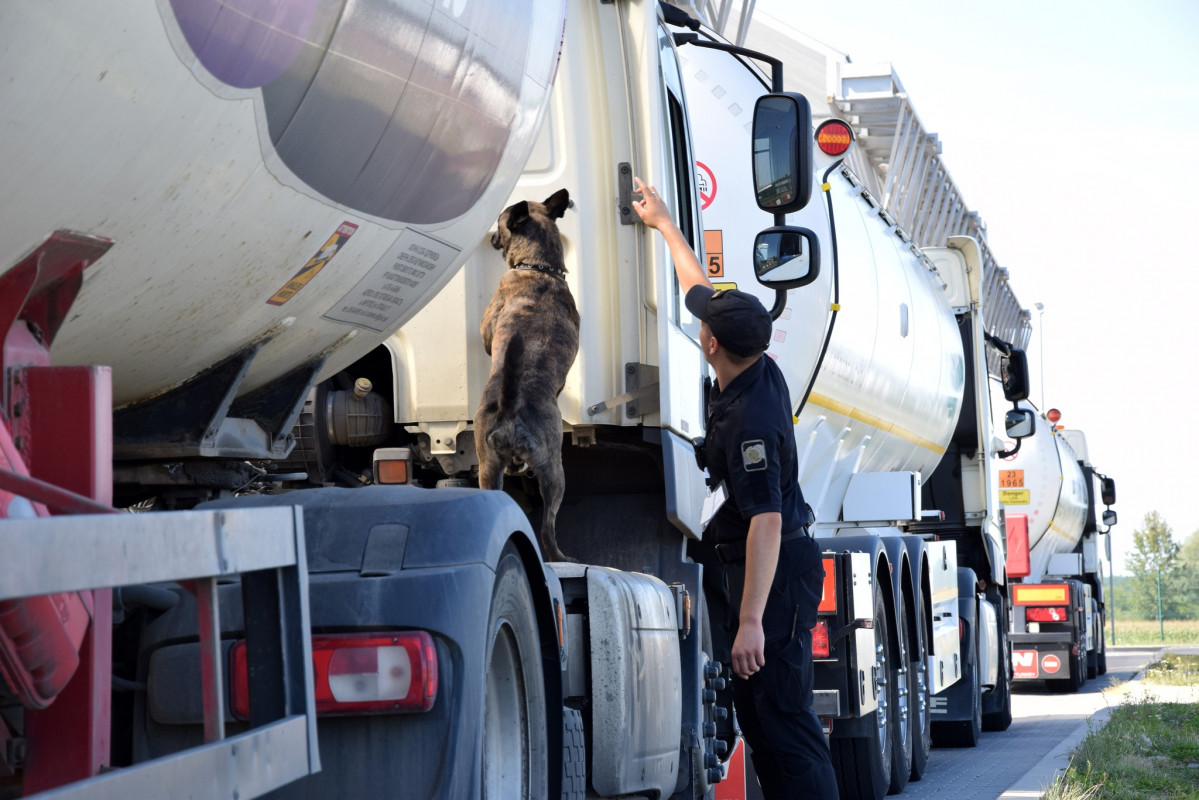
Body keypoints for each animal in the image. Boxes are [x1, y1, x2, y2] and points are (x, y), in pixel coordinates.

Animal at [474, 188, 577, 563]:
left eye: (500, 223)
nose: (490, 236)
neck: (539, 269)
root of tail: (512, 406)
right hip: (547, 473)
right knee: (546, 530)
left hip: (503, 469)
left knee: (544, 531)